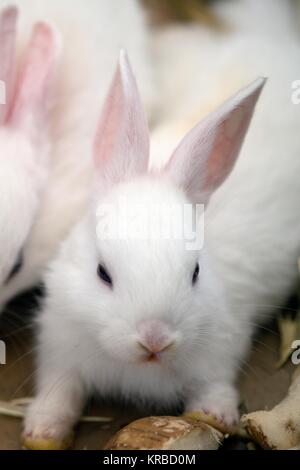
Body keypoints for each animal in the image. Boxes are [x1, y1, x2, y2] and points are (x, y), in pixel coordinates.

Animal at [22, 49, 268, 450]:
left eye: (195, 272)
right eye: (102, 273)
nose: (155, 340)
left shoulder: (222, 347)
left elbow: (214, 386)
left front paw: (215, 415)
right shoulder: (59, 346)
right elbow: (59, 391)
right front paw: (43, 432)